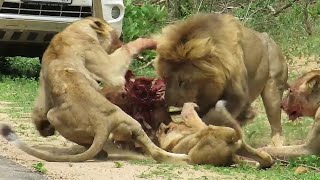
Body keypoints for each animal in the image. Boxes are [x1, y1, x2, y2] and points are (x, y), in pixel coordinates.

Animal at [0, 17, 189, 163]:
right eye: (115, 36)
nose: (120, 41)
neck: (74, 30)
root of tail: (101, 124)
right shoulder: (104, 63)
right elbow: (117, 70)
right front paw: (150, 42)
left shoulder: (44, 84)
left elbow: (39, 109)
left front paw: (44, 130)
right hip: (124, 120)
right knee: (156, 152)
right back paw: (183, 158)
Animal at [154, 13, 288, 147]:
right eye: (165, 79)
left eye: (182, 81)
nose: (170, 102)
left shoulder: (237, 97)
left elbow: (212, 117)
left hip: (273, 87)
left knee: (275, 123)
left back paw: (277, 144)